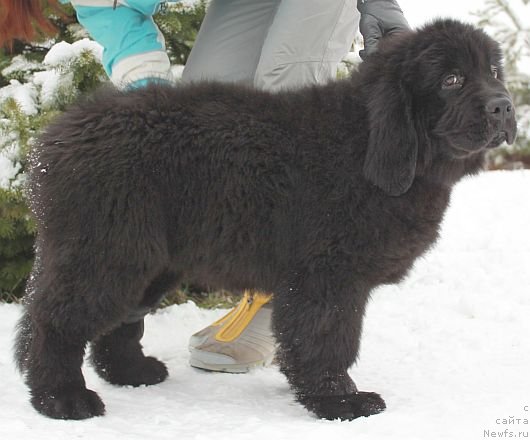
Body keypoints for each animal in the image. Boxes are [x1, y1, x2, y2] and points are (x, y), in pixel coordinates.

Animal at [17, 19, 516, 420]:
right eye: (452, 79)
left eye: (493, 72)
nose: (505, 106)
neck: (365, 144)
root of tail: (54, 138)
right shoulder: (328, 275)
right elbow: (329, 340)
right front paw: (340, 401)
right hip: (109, 250)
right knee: (52, 321)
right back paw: (62, 399)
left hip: (150, 257)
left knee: (119, 318)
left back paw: (130, 371)